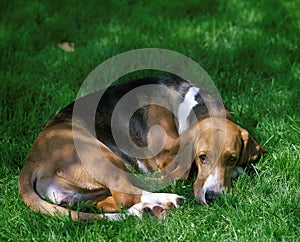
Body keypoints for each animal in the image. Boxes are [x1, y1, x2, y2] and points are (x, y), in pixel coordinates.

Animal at [17, 75, 266, 221]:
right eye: (202, 157)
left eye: (231, 158)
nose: (213, 196)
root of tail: (32, 160)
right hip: (99, 154)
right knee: (124, 193)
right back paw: (166, 200)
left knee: (110, 202)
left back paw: (147, 209)